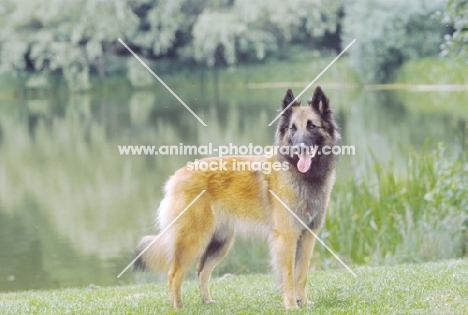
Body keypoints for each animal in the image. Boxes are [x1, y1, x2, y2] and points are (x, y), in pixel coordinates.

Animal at [133, 86, 338, 312]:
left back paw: (207, 301)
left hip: (219, 242)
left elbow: (301, 275)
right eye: (292, 129)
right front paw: (292, 305)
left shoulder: (307, 237)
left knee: (201, 271)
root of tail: (176, 177)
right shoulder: (286, 238)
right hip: (193, 240)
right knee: (174, 274)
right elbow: (288, 275)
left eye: (311, 126)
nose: (299, 148)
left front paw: (303, 302)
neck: (301, 175)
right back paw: (178, 307)